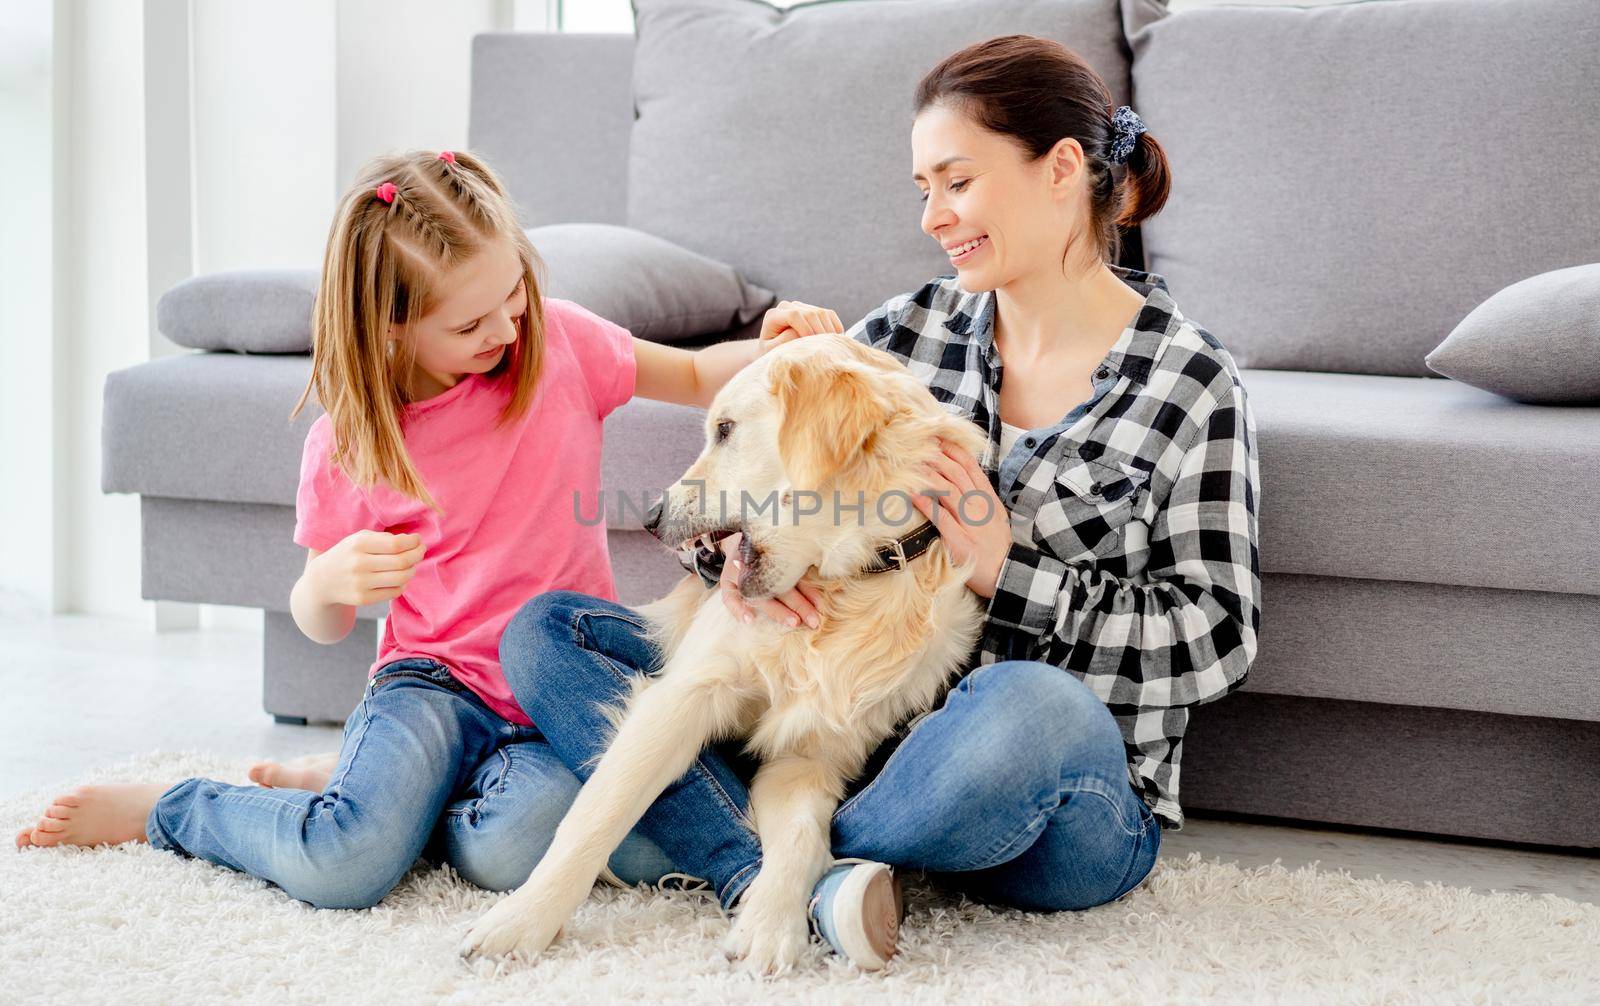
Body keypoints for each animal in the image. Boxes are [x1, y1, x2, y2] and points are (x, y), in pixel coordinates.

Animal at [454, 331, 985, 972]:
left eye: (727, 429)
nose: (652, 518)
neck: (850, 588)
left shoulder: (810, 752)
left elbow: (803, 836)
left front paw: (771, 924)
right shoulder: (682, 695)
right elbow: (597, 814)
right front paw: (522, 921)